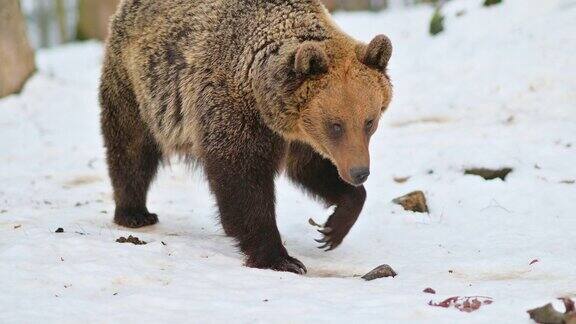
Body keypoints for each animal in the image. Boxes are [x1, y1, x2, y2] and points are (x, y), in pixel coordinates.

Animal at [101, 0, 394, 274]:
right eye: (335, 125)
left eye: (369, 121)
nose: (359, 172)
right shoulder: (234, 111)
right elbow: (242, 182)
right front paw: (281, 258)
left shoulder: (299, 137)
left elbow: (310, 169)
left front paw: (332, 228)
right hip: (137, 85)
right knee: (131, 146)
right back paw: (135, 212)